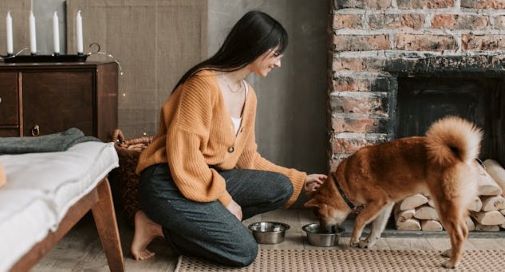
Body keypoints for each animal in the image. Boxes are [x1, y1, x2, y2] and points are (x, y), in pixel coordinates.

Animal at [306, 116, 482, 268]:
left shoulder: (378, 201)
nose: (323, 231)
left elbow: (360, 219)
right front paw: (367, 242)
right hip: (455, 207)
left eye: (320, 216)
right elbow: (376, 228)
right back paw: (450, 253)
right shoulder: (385, 205)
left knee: (459, 234)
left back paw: (453, 262)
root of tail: (457, 155)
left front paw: (355, 238)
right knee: (462, 231)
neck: (344, 183)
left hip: (445, 206)